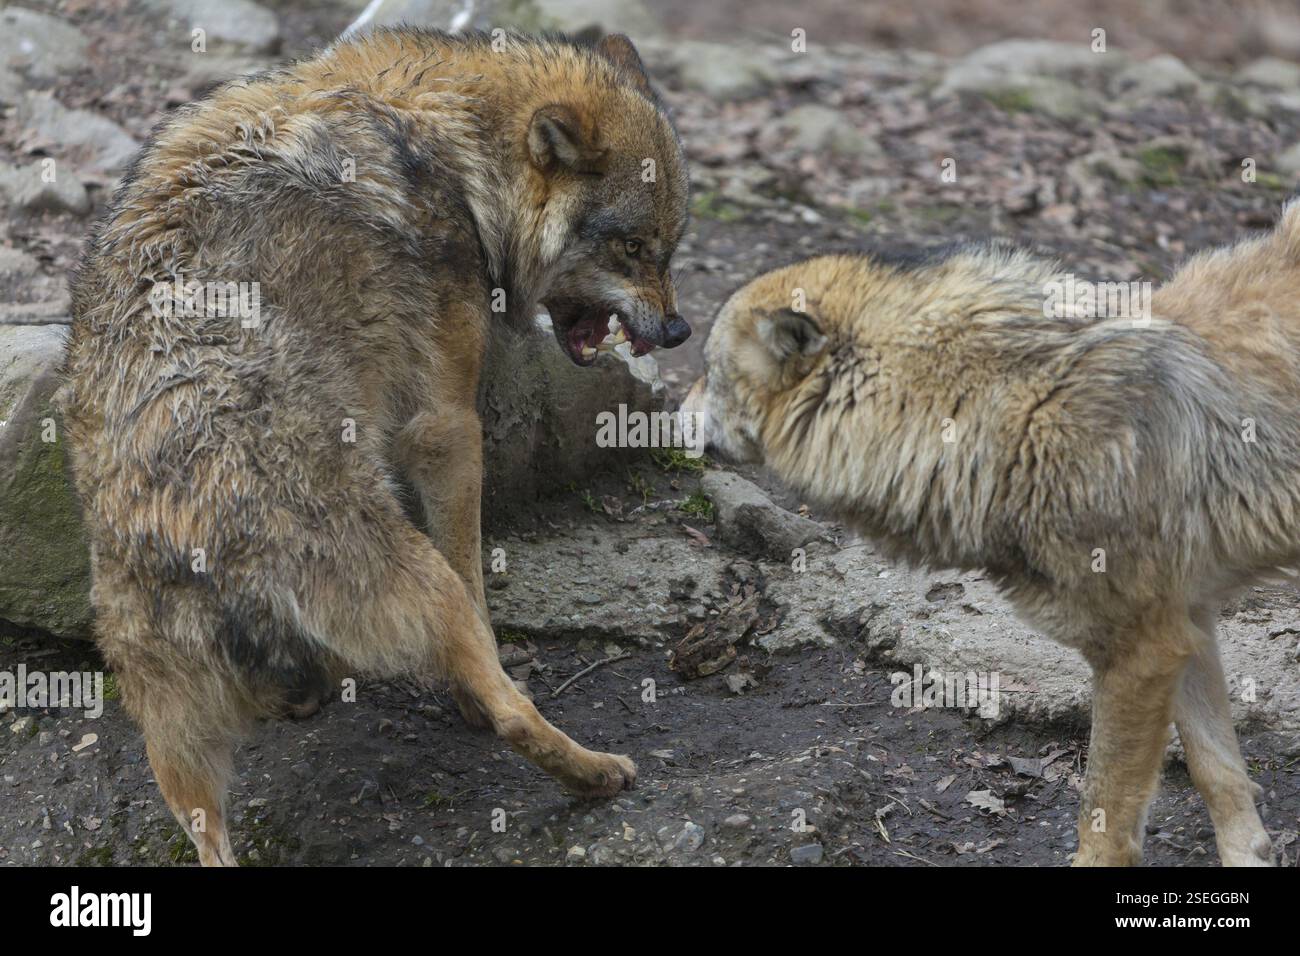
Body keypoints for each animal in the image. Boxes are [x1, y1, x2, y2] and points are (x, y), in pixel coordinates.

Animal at [61, 28, 690, 866]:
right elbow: (475, 577)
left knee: (206, 833)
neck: (447, 139)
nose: (679, 330)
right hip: (423, 585)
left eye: (671, 249)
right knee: (507, 711)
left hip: (174, 744)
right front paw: (490, 679)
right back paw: (596, 772)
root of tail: (193, 540)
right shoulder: (445, 425)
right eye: (632, 248)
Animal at [680, 209, 1300, 866]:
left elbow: (1104, 823)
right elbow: (1218, 774)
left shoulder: (1142, 649)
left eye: (707, 373)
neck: (1001, 413)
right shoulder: (1185, 625)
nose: (665, 411)